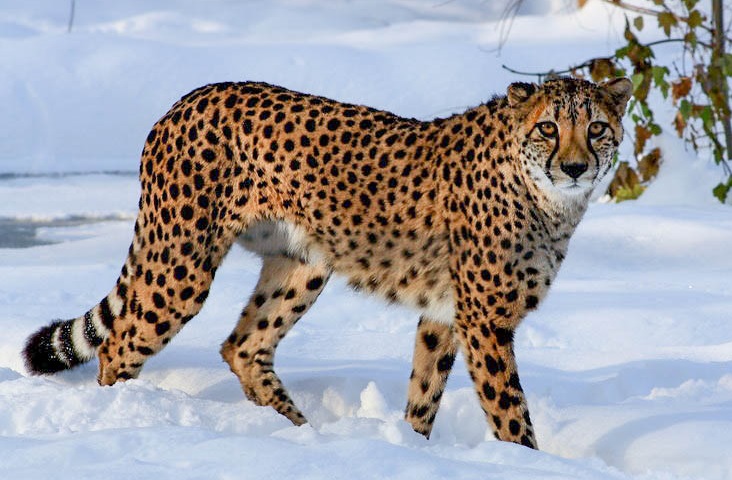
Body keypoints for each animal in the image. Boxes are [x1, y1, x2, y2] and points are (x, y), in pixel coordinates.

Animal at [22, 77, 628, 448]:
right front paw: (527, 462)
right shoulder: (485, 321)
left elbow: (424, 393)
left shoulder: (444, 315)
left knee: (243, 345)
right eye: (548, 127)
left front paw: (412, 451)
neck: (547, 198)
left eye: (596, 128)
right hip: (181, 266)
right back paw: (126, 420)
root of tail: (189, 97)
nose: (575, 167)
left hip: (301, 265)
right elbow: (510, 413)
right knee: (120, 345)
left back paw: (300, 434)